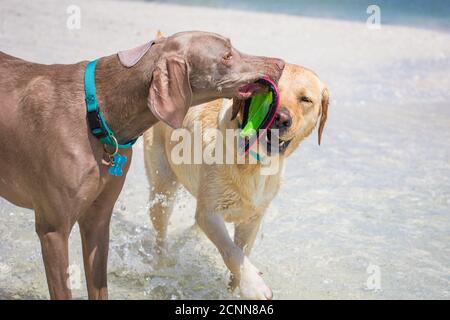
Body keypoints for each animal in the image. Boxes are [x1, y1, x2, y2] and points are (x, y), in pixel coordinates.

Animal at [0, 31, 284, 298]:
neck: (97, 113)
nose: (280, 63)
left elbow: (99, 285)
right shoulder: (53, 229)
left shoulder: (97, 220)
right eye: (226, 56)